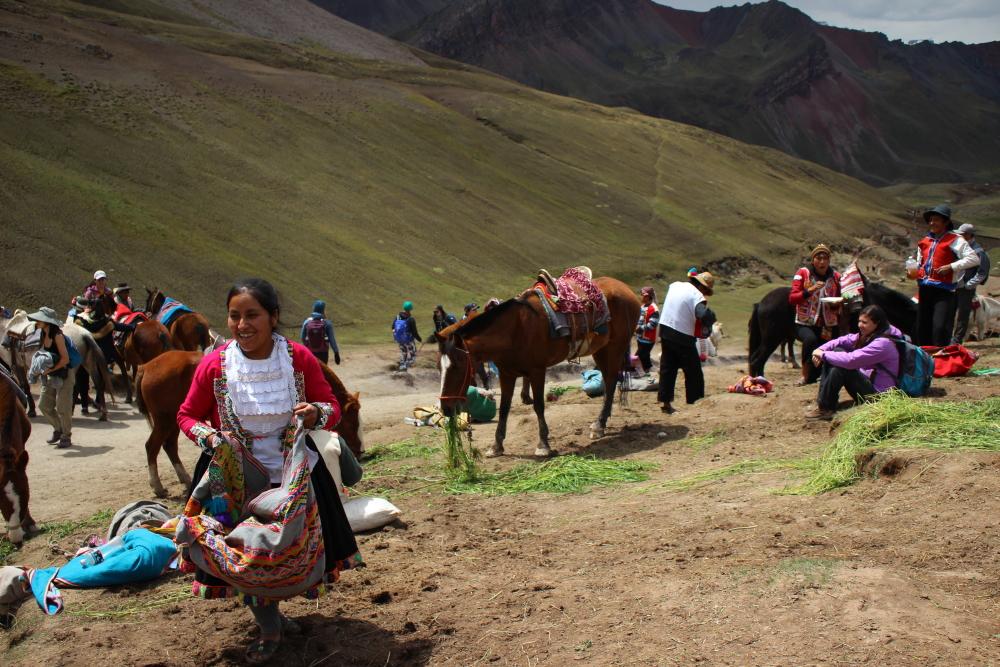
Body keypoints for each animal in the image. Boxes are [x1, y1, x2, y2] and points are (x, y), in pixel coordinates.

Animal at [136, 352, 364, 498]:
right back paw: (158, 486)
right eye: (353, 419)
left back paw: (183, 479)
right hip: (164, 420)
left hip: (170, 422)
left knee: (169, 446)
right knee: (152, 446)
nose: (360, 450)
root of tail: (145, 366)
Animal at [438, 276, 640, 460]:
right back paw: (601, 423)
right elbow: (504, 408)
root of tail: (627, 289)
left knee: (611, 380)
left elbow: (539, 406)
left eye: (458, 366)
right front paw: (496, 446)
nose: (445, 408)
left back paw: (599, 425)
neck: (514, 330)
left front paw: (543, 445)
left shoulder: (537, 371)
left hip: (613, 348)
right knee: (609, 380)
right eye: (440, 368)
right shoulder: (506, 374)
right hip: (601, 349)